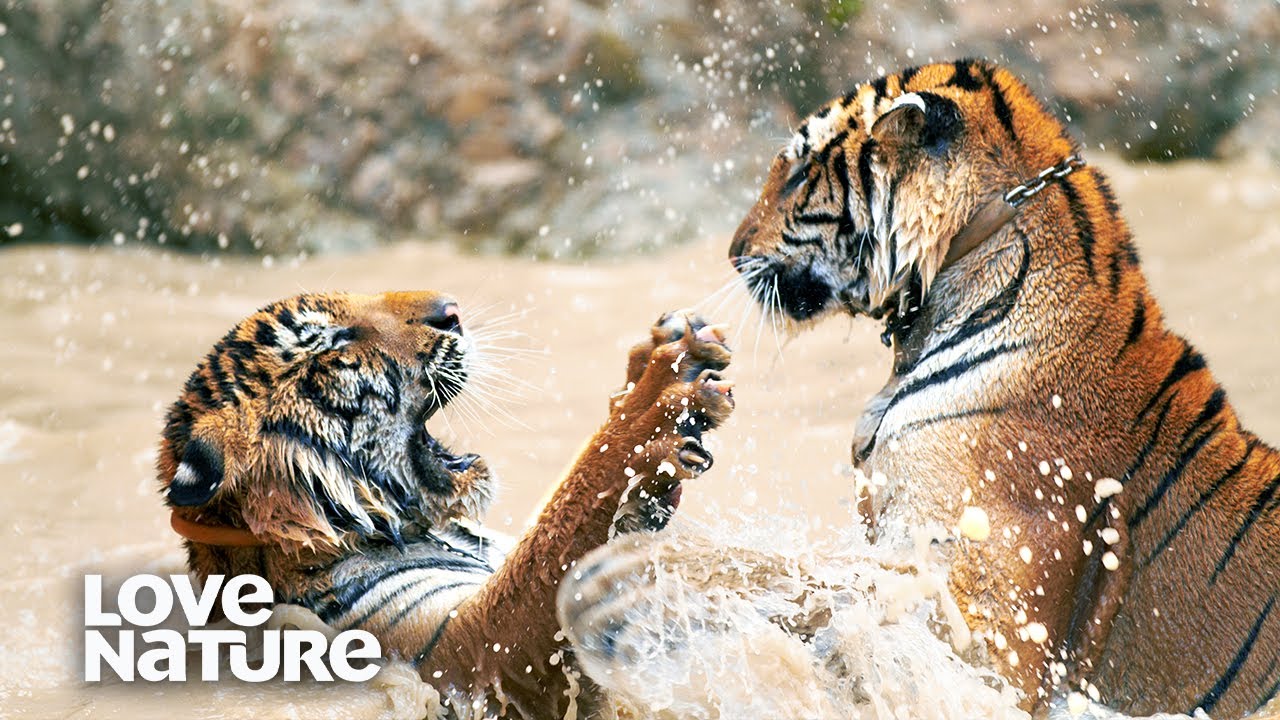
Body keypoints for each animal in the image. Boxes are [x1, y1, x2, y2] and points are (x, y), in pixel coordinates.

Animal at [156, 290, 735, 718]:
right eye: (334, 344)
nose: (450, 310)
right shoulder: (461, 651)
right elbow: (556, 535)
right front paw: (658, 397)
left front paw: (664, 348)